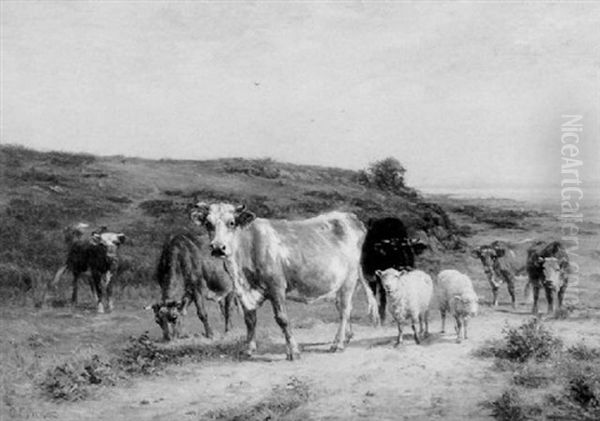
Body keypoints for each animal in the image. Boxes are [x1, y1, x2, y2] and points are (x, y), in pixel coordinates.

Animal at [190, 202, 378, 360]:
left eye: (231, 223)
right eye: (208, 223)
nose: (218, 247)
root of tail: (350, 217)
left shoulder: (276, 287)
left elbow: (282, 319)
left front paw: (293, 351)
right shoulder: (243, 292)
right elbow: (250, 320)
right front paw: (248, 349)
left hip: (349, 279)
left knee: (345, 310)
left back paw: (337, 343)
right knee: (344, 308)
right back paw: (346, 337)